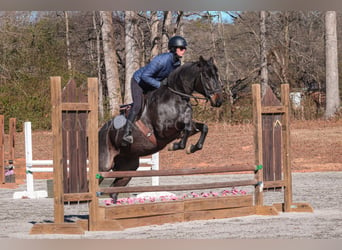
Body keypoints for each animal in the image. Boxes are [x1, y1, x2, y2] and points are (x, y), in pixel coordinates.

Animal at [97, 55, 223, 203]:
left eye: (217, 75)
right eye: (207, 77)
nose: (218, 101)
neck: (176, 97)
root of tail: (99, 132)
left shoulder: (187, 125)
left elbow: (203, 128)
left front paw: (192, 148)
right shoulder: (164, 130)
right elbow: (185, 130)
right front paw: (176, 146)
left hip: (128, 167)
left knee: (114, 191)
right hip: (104, 165)